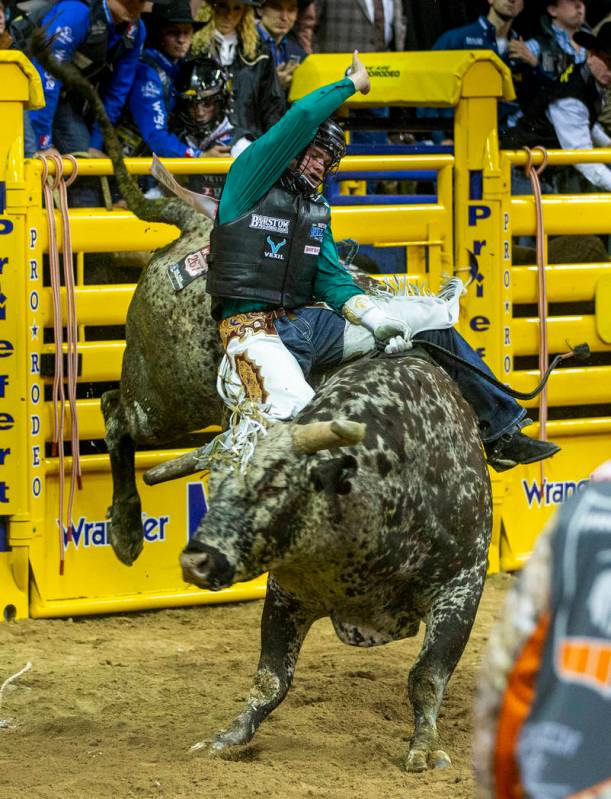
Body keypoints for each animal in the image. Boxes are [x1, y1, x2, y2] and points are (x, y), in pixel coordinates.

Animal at [179, 354, 490, 772]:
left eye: (273, 486)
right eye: (213, 486)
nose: (197, 560)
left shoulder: (462, 584)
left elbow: (426, 677)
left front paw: (424, 746)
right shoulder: (288, 593)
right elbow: (270, 680)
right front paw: (228, 737)